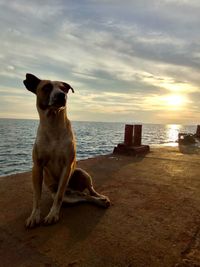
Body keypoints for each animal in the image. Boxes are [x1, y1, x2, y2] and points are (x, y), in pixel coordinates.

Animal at [24, 74, 111, 229]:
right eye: (46, 87)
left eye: (63, 88)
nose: (61, 95)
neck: (53, 125)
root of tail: (74, 190)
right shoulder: (37, 166)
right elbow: (37, 196)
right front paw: (34, 215)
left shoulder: (67, 165)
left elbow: (59, 195)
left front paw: (52, 214)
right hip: (67, 196)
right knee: (84, 197)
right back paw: (98, 201)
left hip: (81, 173)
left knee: (89, 191)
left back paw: (101, 198)